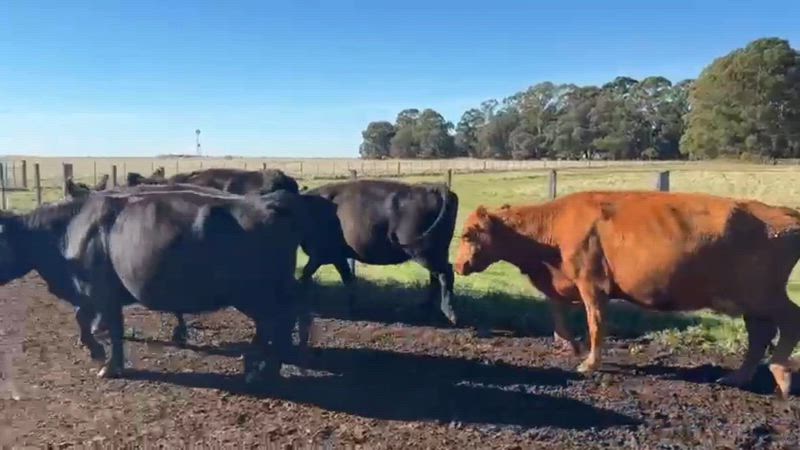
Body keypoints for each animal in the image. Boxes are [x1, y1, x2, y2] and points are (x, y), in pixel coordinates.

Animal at [0, 188, 308, 382]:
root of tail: (268, 201)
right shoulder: (90, 292)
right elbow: (82, 318)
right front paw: (95, 351)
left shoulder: (101, 291)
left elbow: (113, 328)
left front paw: (110, 367)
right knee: (278, 324)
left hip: (257, 293)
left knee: (279, 323)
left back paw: (264, 371)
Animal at [299, 179, 460, 325]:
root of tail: (432, 188)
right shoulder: (337, 257)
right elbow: (348, 279)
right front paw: (353, 307)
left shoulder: (319, 255)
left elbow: (305, 274)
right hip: (435, 253)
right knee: (436, 277)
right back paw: (426, 309)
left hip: (424, 253)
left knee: (445, 274)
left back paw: (449, 314)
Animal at [453, 190, 800, 399]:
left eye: (468, 235)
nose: (458, 265)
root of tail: (781, 213)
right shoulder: (564, 283)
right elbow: (557, 309)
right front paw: (569, 345)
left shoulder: (592, 284)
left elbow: (595, 324)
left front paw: (589, 363)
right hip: (753, 302)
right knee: (760, 334)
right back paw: (737, 377)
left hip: (763, 296)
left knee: (788, 321)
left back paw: (781, 375)